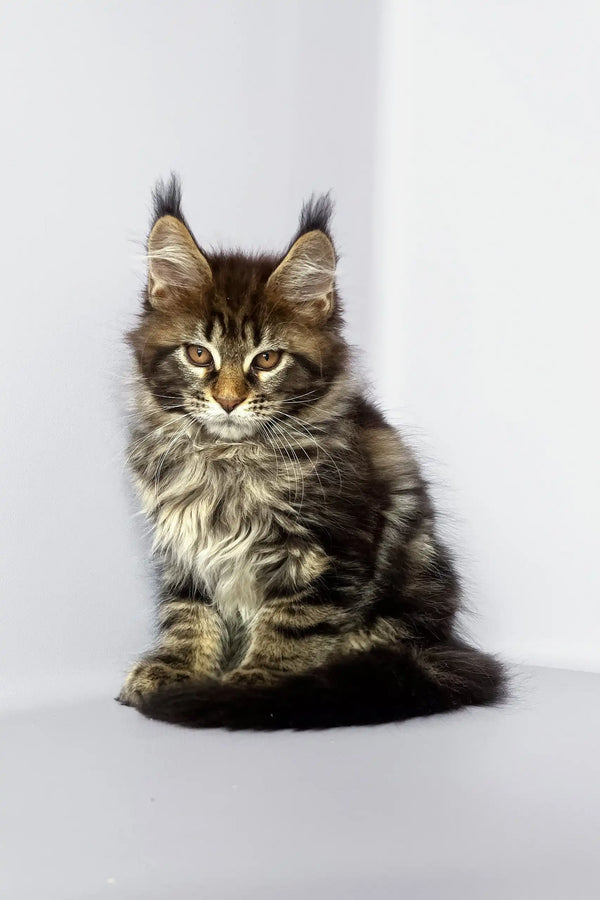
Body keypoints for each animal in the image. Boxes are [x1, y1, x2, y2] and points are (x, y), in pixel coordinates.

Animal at [116, 178, 502, 732]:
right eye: (198, 354)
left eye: (267, 359)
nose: (228, 400)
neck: (229, 460)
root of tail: (438, 643)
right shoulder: (184, 547)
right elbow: (189, 613)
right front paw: (176, 669)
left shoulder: (326, 551)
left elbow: (291, 627)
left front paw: (258, 688)